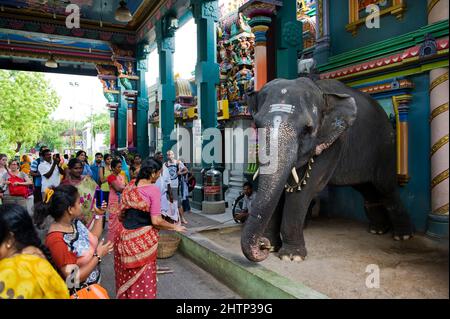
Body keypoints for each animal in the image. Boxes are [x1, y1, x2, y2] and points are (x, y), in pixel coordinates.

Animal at [241, 77, 414, 262]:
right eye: (256, 125)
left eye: (307, 130)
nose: (262, 245)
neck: (319, 90)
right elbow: (280, 192)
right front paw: (273, 246)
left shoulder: (334, 142)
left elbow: (304, 191)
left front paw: (291, 256)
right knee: (367, 189)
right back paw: (378, 230)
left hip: (386, 147)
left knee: (385, 188)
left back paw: (402, 236)